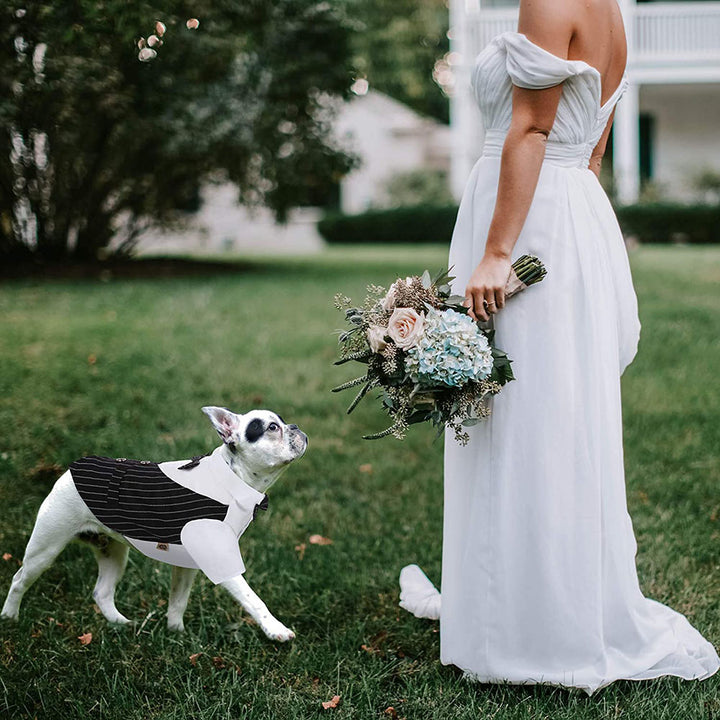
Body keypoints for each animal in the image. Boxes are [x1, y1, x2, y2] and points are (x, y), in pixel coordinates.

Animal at [0, 404, 306, 640]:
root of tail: (70, 470)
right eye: (272, 428)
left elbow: (178, 600)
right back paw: (10, 617)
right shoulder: (222, 562)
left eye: (282, 422)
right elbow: (254, 600)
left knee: (102, 592)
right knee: (19, 579)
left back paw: (120, 623)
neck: (231, 478)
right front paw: (276, 630)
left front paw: (177, 634)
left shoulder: (188, 565)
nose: (295, 426)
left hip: (112, 552)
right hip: (46, 546)